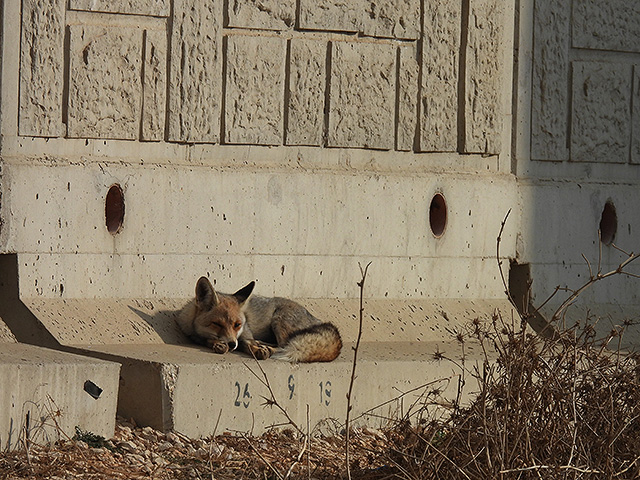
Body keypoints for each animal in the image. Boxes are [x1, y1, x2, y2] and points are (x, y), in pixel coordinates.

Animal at [178, 276, 342, 362]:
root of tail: (318, 319)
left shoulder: (245, 333)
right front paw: (217, 344)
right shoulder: (192, 334)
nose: (231, 344)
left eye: (237, 325)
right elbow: (206, 340)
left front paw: (256, 350)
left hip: (279, 320)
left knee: (283, 344)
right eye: (217, 324)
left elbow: (247, 343)